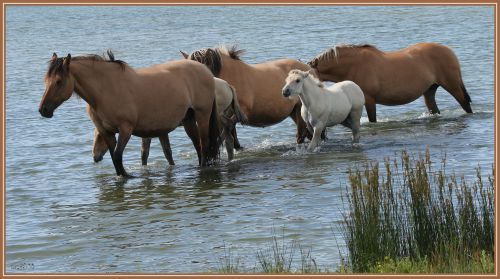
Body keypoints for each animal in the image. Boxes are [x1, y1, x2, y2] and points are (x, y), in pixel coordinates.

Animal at [42, 50, 222, 177]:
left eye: (58, 81)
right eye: (46, 81)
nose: (43, 110)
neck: (105, 90)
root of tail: (205, 70)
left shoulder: (125, 129)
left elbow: (118, 156)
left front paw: (128, 177)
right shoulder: (106, 132)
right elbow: (115, 158)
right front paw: (122, 176)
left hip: (202, 115)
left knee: (204, 143)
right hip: (188, 120)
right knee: (197, 144)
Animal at [92, 76, 248, 164]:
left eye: (99, 138)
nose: (95, 157)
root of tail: (228, 85)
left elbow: (158, 153)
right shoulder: (155, 132)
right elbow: (148, 153)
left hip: (215, 116)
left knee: (227, 129)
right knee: (229, 133)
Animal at [180, 44, 314, 147]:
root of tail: (308, 68)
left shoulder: (242, 112)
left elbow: (229, 128)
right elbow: (232, 135)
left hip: (300, 109)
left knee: (302, 134)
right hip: (294, 112)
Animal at [306, 43, 474, 122]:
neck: (354, 65)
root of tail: (448, 50)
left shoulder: (369, 99)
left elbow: (372, 120)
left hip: (452, 86)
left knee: (465, 104)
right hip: (429, 91)